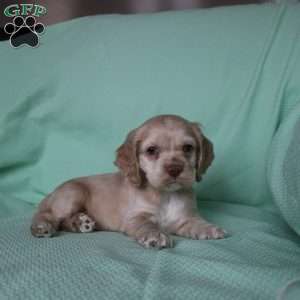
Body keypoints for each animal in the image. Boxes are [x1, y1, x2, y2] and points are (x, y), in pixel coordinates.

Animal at [31, 113, 226, 247]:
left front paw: (209, 228)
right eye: (151, 150)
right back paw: (41, 227)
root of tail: (51, 194)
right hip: (73, 194)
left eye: (187, 148)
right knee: (48, 215)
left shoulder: (185, 218)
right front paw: (156, 235)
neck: (166, 195)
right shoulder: (135, 217)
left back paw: (80, 223)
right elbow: (147, 224)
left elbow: (197, 222)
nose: (175, 169)